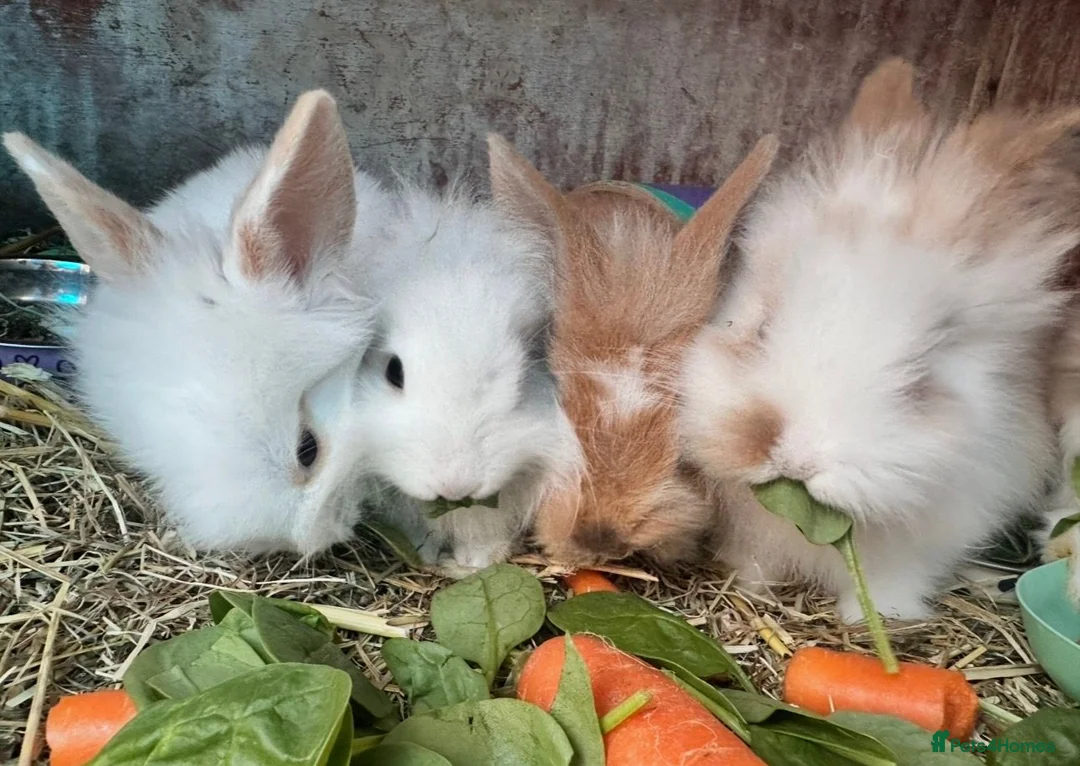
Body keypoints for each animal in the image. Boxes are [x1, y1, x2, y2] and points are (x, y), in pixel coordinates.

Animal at [678, 58, 1080, 621]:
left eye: (921, 377)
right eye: (761, 325)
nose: (795, 460)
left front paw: (879, 620)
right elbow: (755, 563)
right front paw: (752, 588)